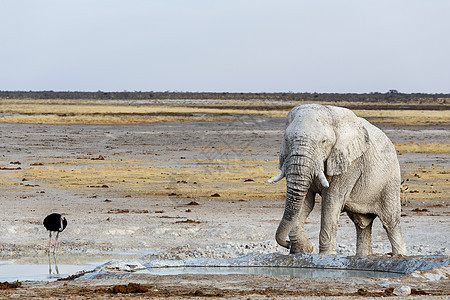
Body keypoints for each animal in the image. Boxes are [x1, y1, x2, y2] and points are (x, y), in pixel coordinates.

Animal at [268, 104, 406, 256]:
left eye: (323, 141)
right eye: (286, 140)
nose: (286, 244)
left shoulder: (350, 163)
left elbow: (331, 201)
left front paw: (325, 255)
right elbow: (306, 201)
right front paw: (302, 251)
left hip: (390, 180)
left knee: (390, 223)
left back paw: (400, 255)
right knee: (362, 225)